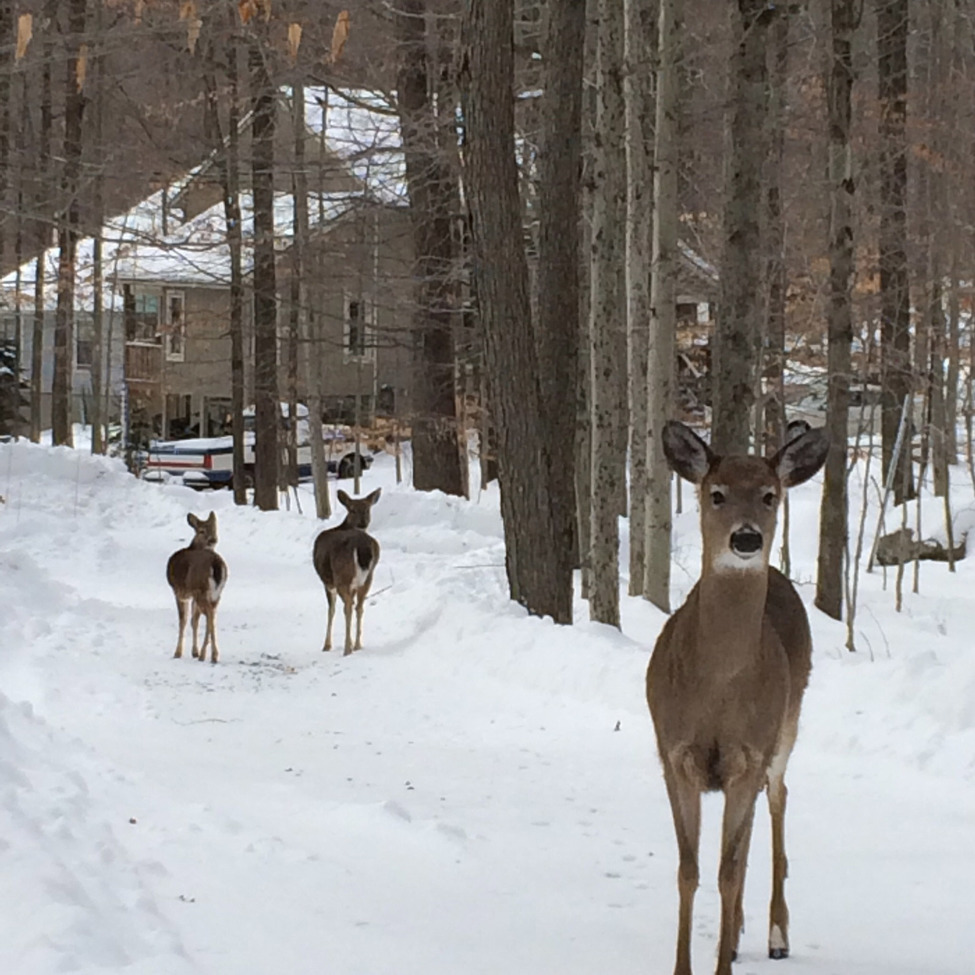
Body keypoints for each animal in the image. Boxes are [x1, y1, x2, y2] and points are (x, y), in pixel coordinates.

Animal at [166, 511, 228, 664]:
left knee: (209, 614)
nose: (213, 539)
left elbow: (183, 621)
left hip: (201, 589)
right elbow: (194, 622)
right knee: (212, 616)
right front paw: (194, 651)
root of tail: (216, 563)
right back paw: (209, 654)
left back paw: (209, 655)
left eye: (214, 528)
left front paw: (178, 652)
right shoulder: (192, 595)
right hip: (217, 593)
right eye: (202, 530)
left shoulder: (179, 592)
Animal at [312, 488, 381, 655]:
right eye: (353, 509)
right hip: (368, 577)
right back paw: (357, 645)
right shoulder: (355, 584)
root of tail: (361, 545)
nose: (363, 523)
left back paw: (347, 649)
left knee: (348, 606)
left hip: (341, 576)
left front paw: (327, 645)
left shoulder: (328, 583)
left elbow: (331, 610)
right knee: (359, 607)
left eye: (367, 509)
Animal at [646, 420, 828, 975]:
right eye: (717, 493)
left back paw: (775, 933)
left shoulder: (749, 755)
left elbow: (726, 870)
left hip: (786, 726)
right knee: (745, 843)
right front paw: (685, 966)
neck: (718, 687)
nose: (746, 538)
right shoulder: (674, 752)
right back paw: (735, 934)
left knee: (778, 801)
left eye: (770, 495)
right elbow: (689, 869)